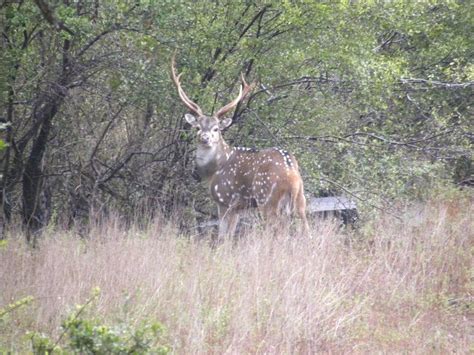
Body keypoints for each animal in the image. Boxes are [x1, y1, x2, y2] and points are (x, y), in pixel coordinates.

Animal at [172, 56, 310, 239]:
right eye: (198, 127)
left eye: (216, 129)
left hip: (267, 198)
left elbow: (223, 236)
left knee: (278, 230)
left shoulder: (225, 199)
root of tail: (292, 176)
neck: (213, 171)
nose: (205, 138)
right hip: (300, 199)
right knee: (306, 229)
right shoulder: (238, 207)